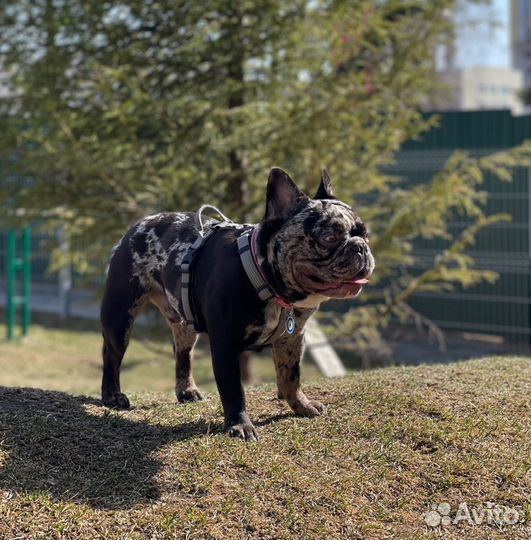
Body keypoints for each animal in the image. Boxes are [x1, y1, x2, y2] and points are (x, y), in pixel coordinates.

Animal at [100, 168, 374, 438]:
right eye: (329, 237)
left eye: (365, 235)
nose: (360, 247)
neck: (267, 281)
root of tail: (140, 224)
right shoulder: (225, 344)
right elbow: (233, 391)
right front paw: (240, 425)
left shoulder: (292, 339)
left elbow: (291, 376)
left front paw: (301, 406)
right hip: (120, 316)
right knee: (112, 355)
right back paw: (112, 396)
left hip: (185, 324)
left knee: (182, 353)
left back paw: (186, 390)